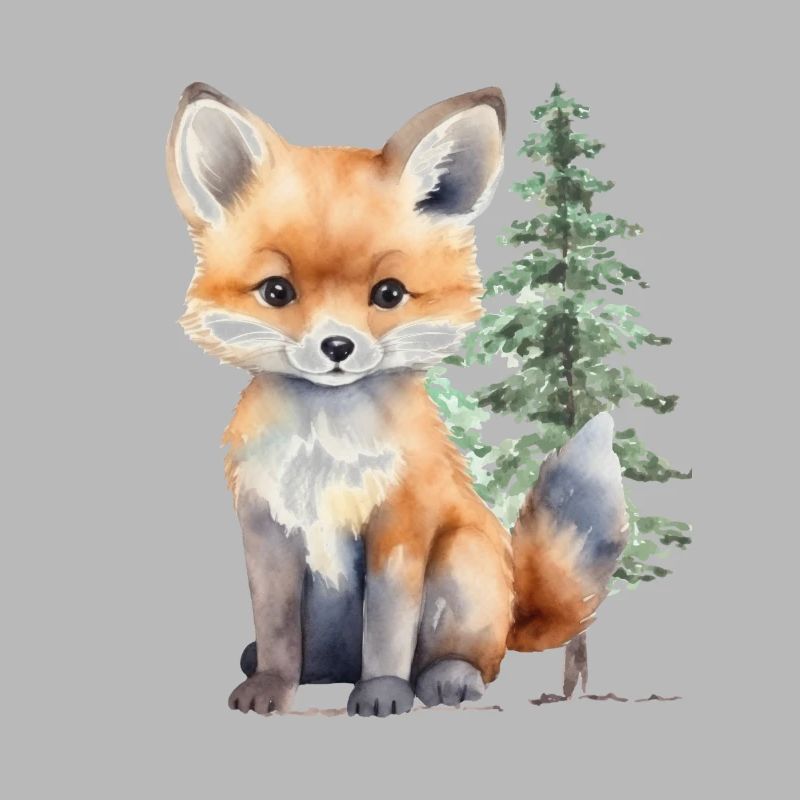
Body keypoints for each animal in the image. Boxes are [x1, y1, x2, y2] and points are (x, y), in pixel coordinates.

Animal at [166, 82, 629, 716]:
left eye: (388, 294)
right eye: (276, 291)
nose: (337, 346)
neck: (325, 445)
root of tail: (515, 609)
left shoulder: (400, 526)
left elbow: (388, 627)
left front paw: (384, 692)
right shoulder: (267, 529)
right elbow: (276, 626)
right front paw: (270, 686)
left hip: (461, 562)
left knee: (475, 659)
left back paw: (447, 679)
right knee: (317, 658)